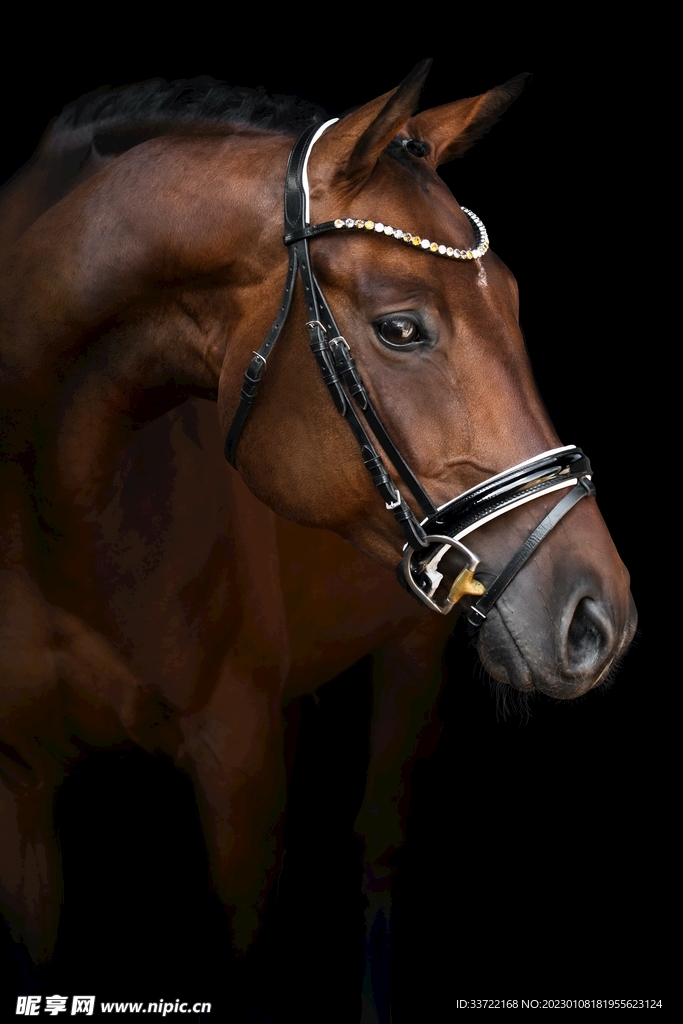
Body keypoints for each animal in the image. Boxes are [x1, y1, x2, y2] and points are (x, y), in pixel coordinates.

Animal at [0, 62, 636, 1021]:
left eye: (517, 304)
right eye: (400, 327)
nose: (598, 617)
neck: (61, 527)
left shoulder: (238, 771)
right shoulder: (21, 788)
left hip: (409, 657)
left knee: (377, 853)